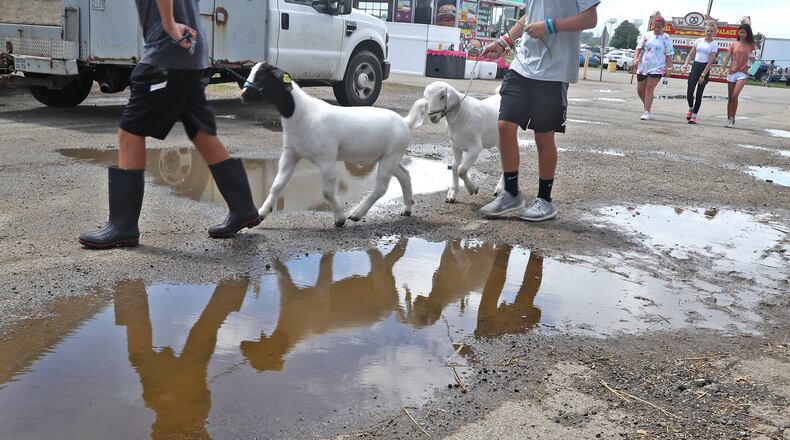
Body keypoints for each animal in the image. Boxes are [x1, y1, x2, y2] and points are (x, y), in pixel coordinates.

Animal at [241, 63, 427, 227]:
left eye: (263, 77)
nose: (243, 94)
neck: (303, 113)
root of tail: (405, 122)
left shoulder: (326, 158)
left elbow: (328, 191)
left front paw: (340, 218)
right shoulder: (291, 154)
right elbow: (277, 184)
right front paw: (262, 213)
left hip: (391, 156)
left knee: (381, 187)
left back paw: (356, 214)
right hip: (388, 157)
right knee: (404, 175)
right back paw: (407, 208)